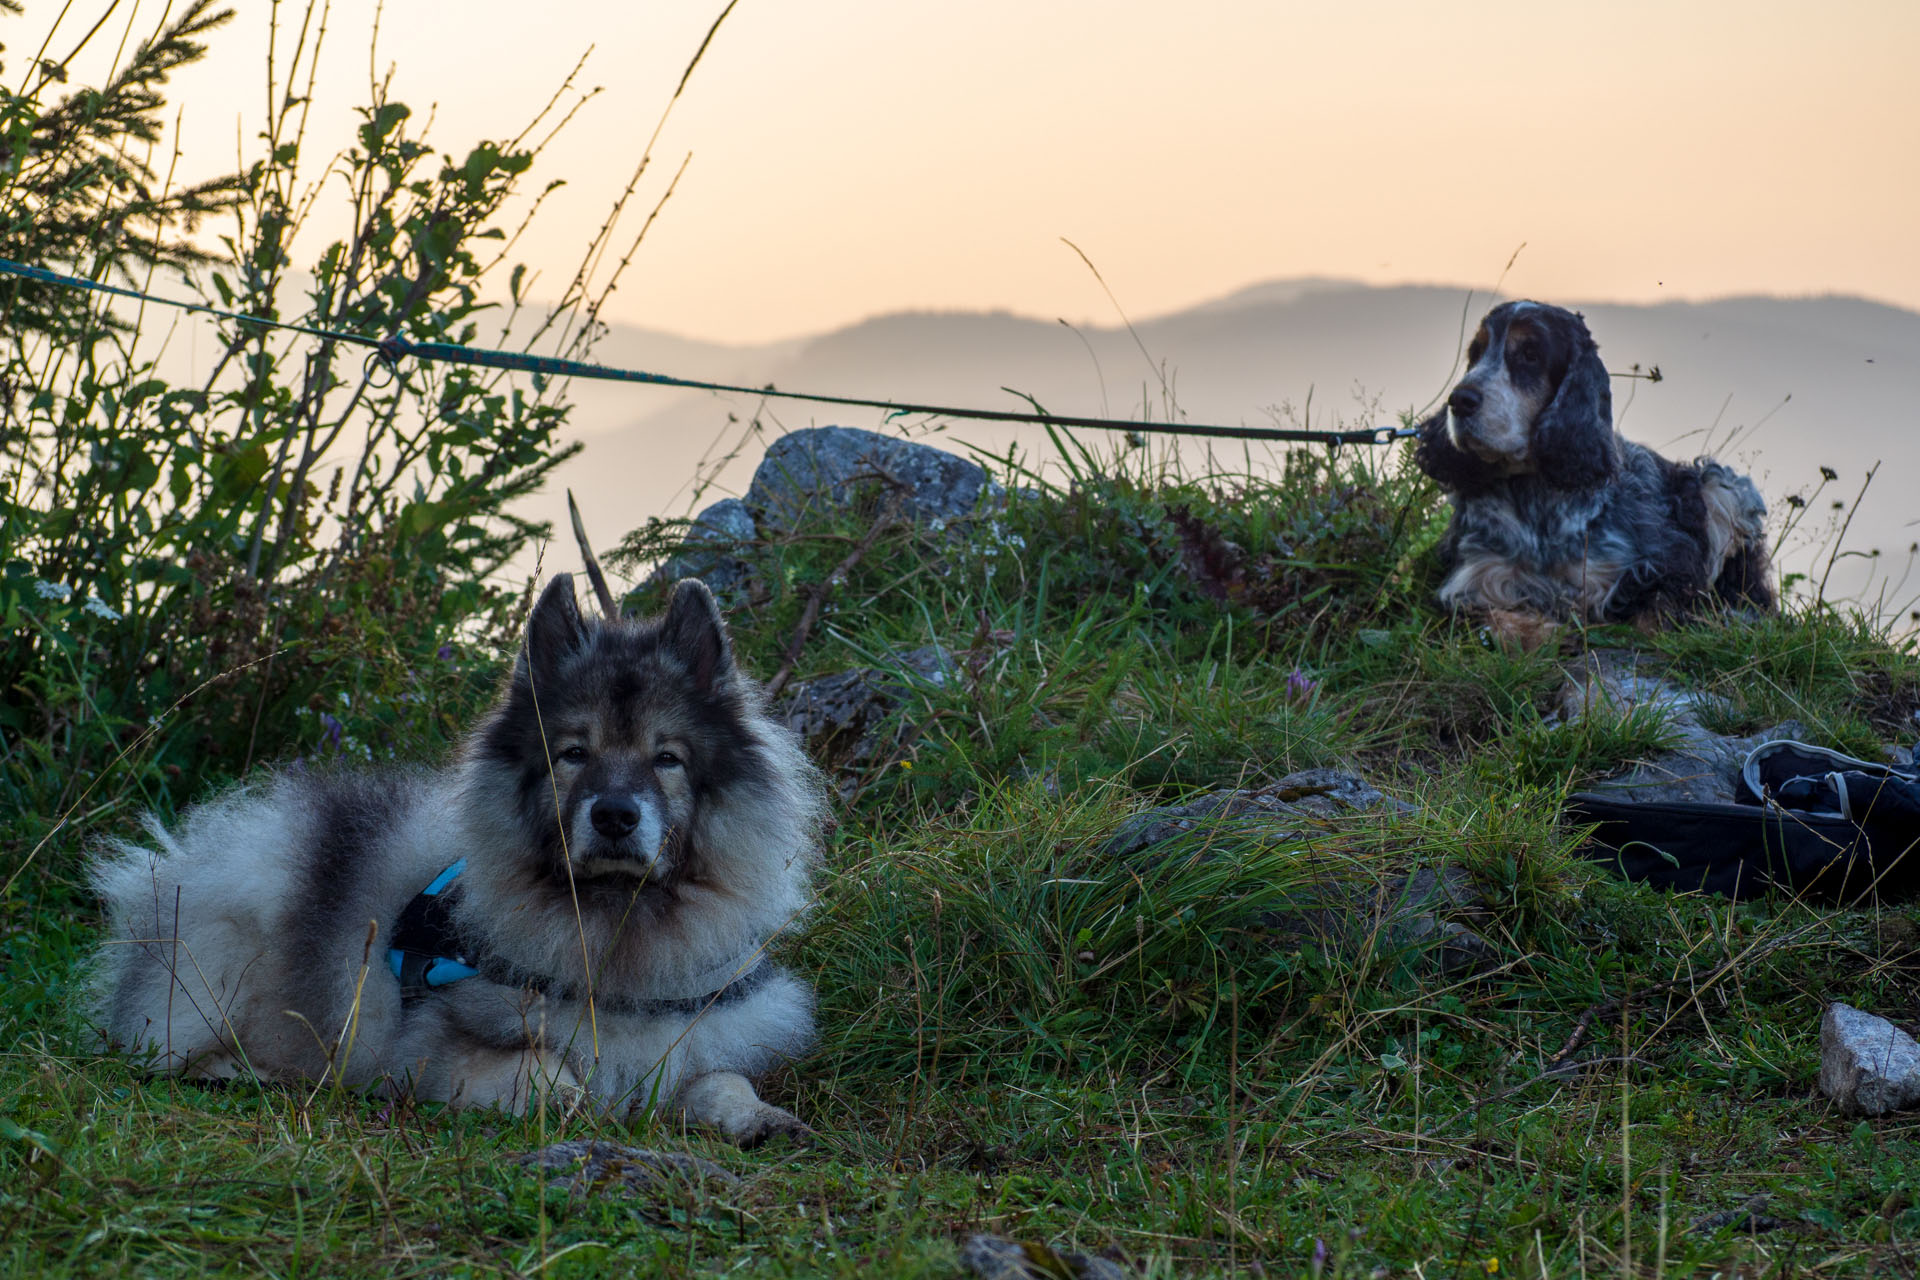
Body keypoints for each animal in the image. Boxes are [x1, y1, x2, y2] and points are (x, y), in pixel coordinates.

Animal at [90, 575, 825, 1143]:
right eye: (573, 753)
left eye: (667, 757)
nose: (615, 815)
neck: (613, 939)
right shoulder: (435, 1046)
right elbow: (541, 1069)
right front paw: (573, 1103)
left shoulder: (696, 1041)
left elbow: (720, 1079)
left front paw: (759, 1116)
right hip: (235, 934)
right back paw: (240, 1070)